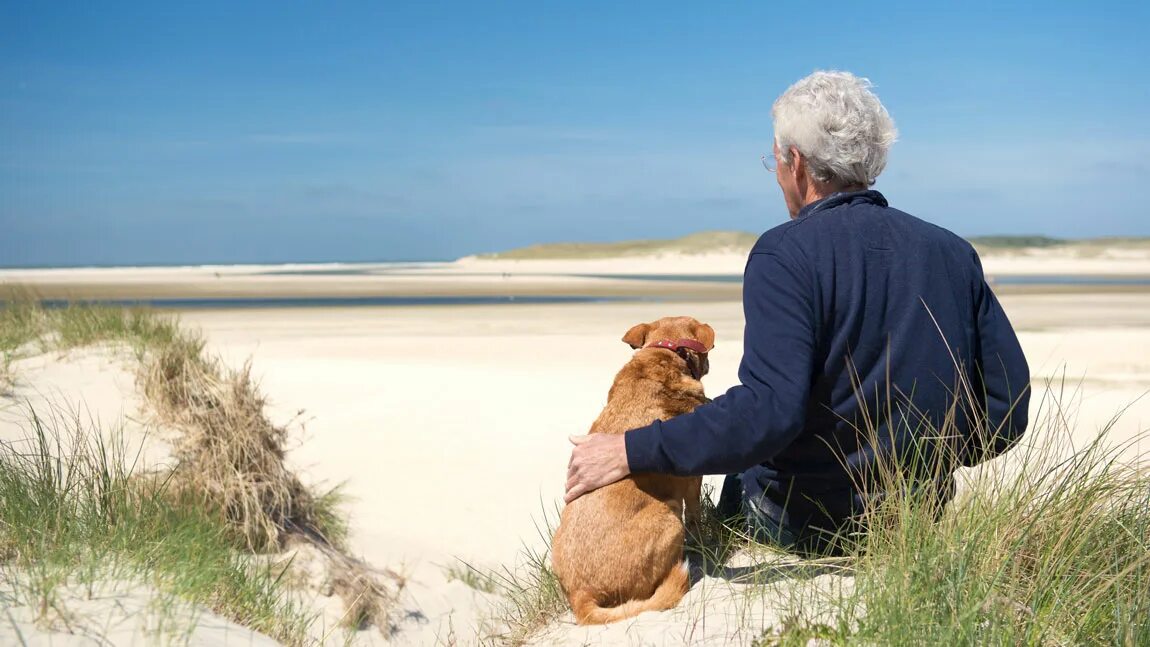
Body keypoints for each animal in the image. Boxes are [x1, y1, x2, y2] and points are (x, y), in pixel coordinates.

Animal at [549, 317, 717, 625]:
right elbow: (696, 516)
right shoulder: (691, 481)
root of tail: (580, 596)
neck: (664, 353)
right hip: (668, 515)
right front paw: (703, 544)